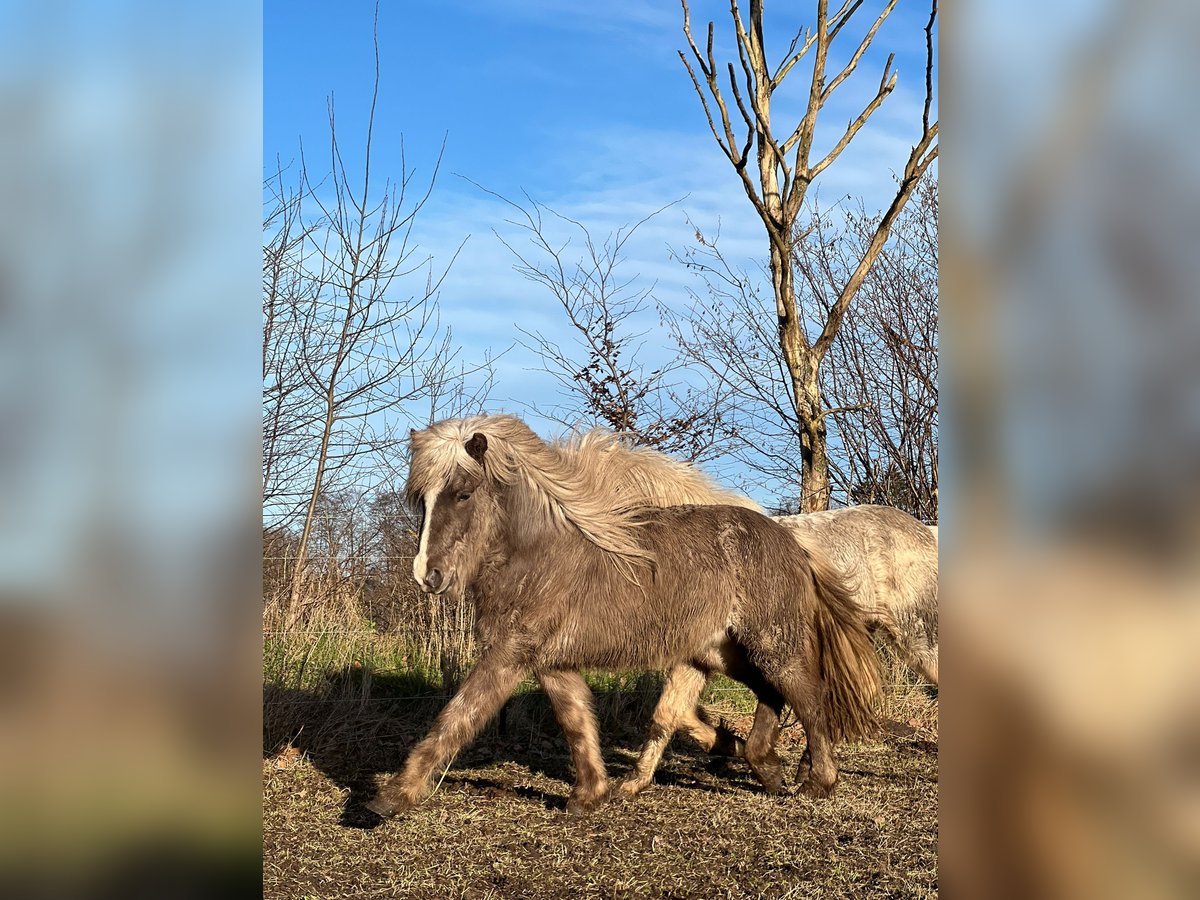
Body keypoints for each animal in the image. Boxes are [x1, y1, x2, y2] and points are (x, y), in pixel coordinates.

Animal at [364, 415, 883, 816]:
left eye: (464, 493)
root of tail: (792, 542)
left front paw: (391, 797)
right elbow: (577, 722)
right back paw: (760, 764)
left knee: (808, 699)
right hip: (723, 652)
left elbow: (456, 717)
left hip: (770, 645)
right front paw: (591, 794)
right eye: (421, 497)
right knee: (769, 695)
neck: (540, 556)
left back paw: (817, 782)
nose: (426, 575)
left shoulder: (509, 654)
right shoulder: (551, 662)